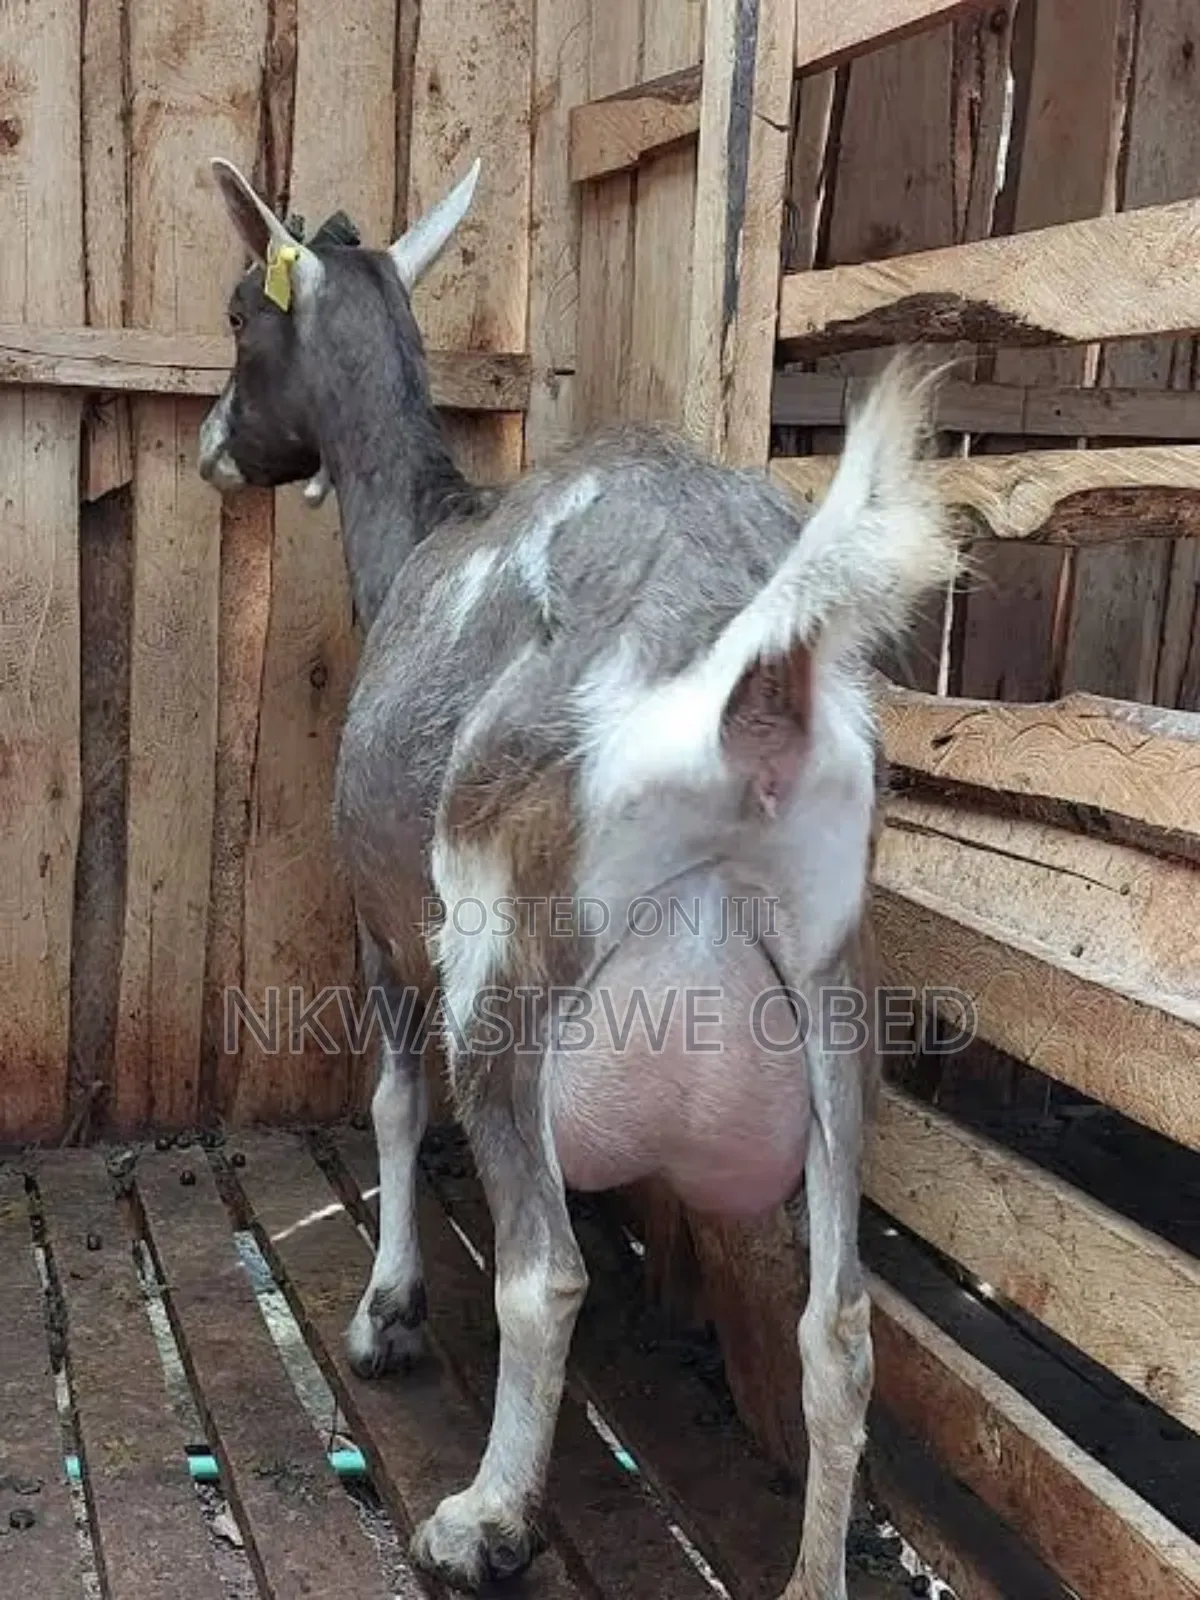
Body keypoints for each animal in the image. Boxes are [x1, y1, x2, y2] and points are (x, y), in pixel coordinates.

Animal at [198, 155, 956, 1599]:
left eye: (236, 315)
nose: (214, 449)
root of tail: (745, 663)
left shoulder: (383, 916)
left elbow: (391, 1101)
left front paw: (386, 1314)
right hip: (836, 991)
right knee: (840, 1327)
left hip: (507, 962)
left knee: (542, 1270)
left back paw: (483, 1516)